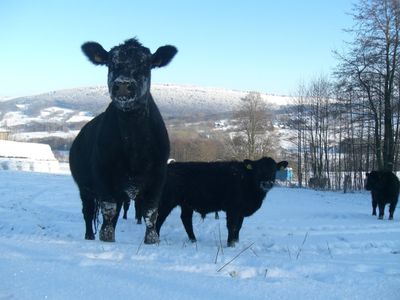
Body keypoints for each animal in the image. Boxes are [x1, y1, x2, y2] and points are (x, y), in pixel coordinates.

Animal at [69, 37, 177, 244]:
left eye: (145, 64)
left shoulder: (158, 177)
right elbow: (109, 209)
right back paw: (90, 236)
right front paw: (106, 237)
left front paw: (152, 239)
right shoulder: (103, 175)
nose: (124, 85)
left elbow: (151, 212)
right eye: (111, 63)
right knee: (88, 212)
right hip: (84, 188)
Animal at [154, 157, 288, 246]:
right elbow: (232, 226)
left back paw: (193, 240)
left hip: (186, 204)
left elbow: (238, 227)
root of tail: (169, 167)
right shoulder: (233, 209)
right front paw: (230, 244)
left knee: (186, 220)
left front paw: (236, 242)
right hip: (167, 202)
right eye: (258, 170)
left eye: (274, 170)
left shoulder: (241, 211)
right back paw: (156, 239)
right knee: (159, 219)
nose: (266, 183)